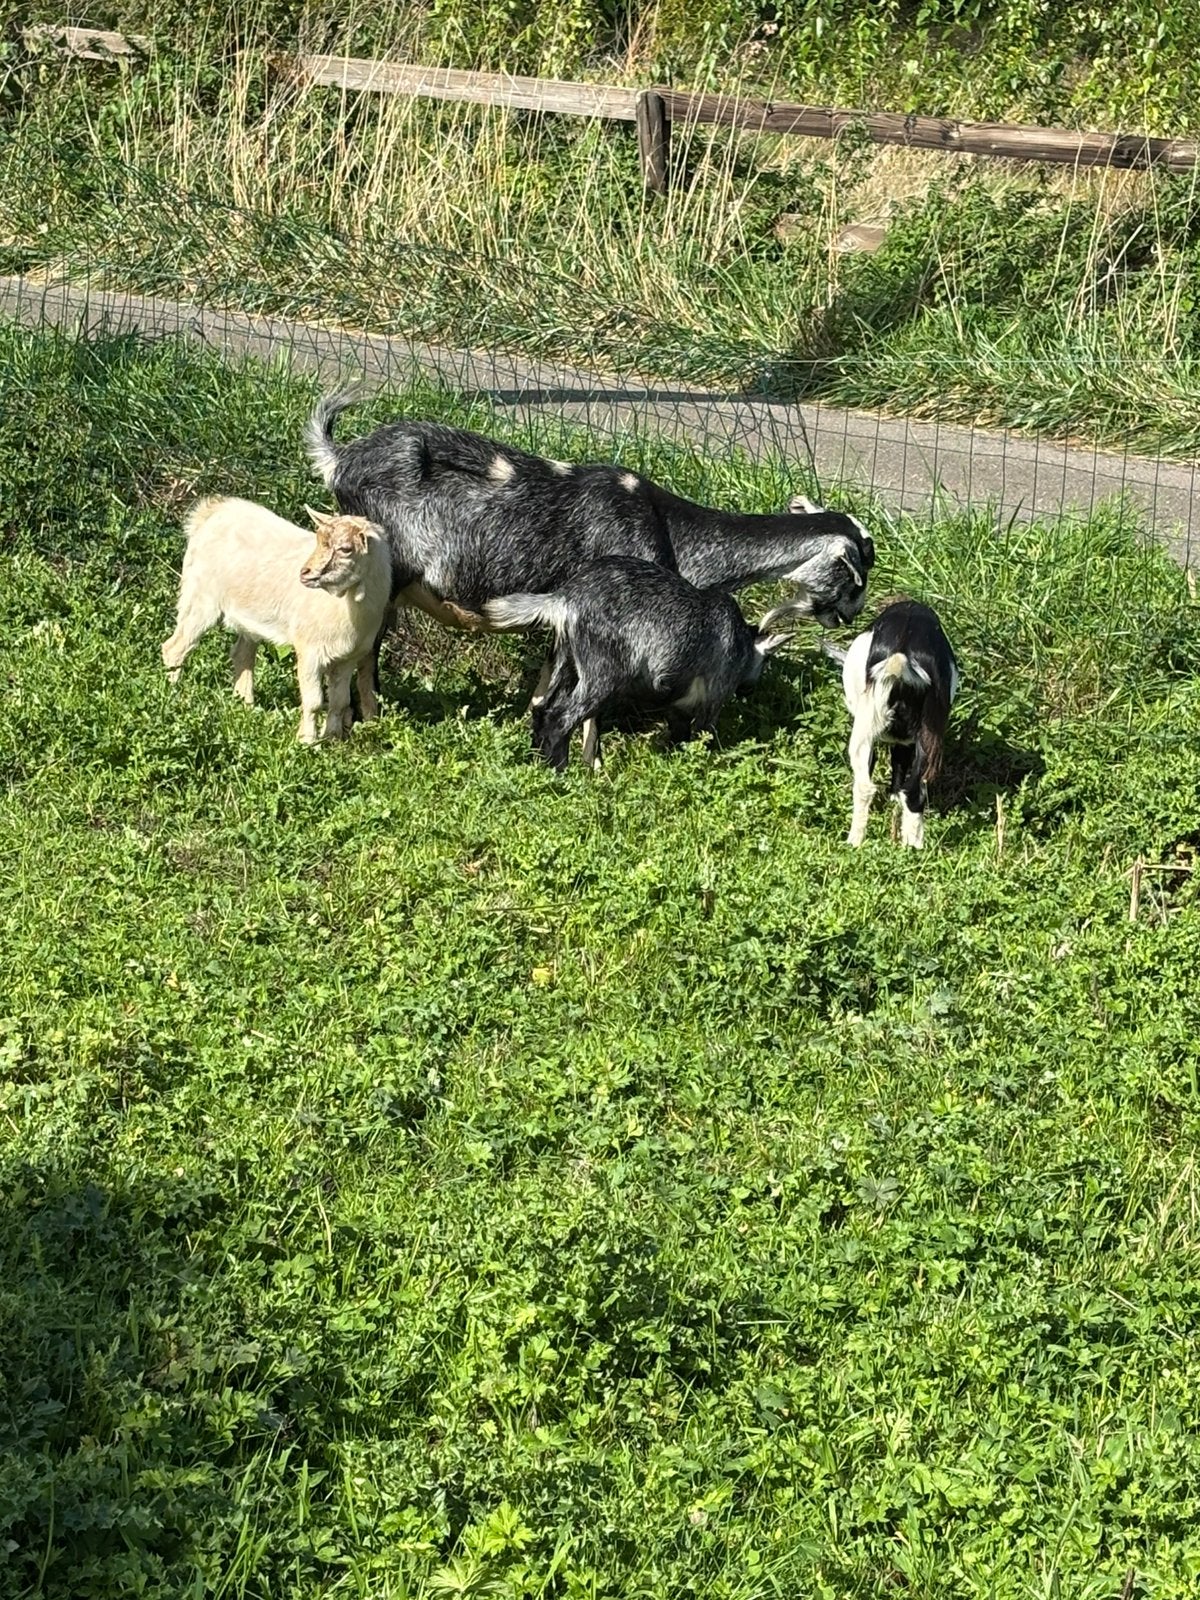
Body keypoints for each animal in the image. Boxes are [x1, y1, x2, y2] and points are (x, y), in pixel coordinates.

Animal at [161, 496, 391, 744]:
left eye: (346, 549)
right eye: (318, 540)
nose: (305, 573)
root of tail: (211, 511)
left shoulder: (348, 656)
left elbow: (340, 702)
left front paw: (332, 739)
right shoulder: (309, 650)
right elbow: (314, 701)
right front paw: (307, 741)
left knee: (242, 654)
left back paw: (246, 706)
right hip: (200, 597)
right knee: (175, 647)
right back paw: (173, 696)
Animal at [483, 556, 790, 771]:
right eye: (766, 661)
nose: (749, 689)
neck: (739, 638)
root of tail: (564, 600)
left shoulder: (678, 703)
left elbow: (679, 734)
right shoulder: (714, 692)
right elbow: (705, 733)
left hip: (565, 659)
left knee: (542, 709)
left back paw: (539, 762)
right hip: (602, 673)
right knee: (561, 717)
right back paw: (560, 770)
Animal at [823, 600, 959, 848]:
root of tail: (902, 651)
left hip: (865, 724)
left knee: (865, 787)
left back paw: (853, 842)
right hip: (929, 730)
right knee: (914, 792)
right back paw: (913, 845)